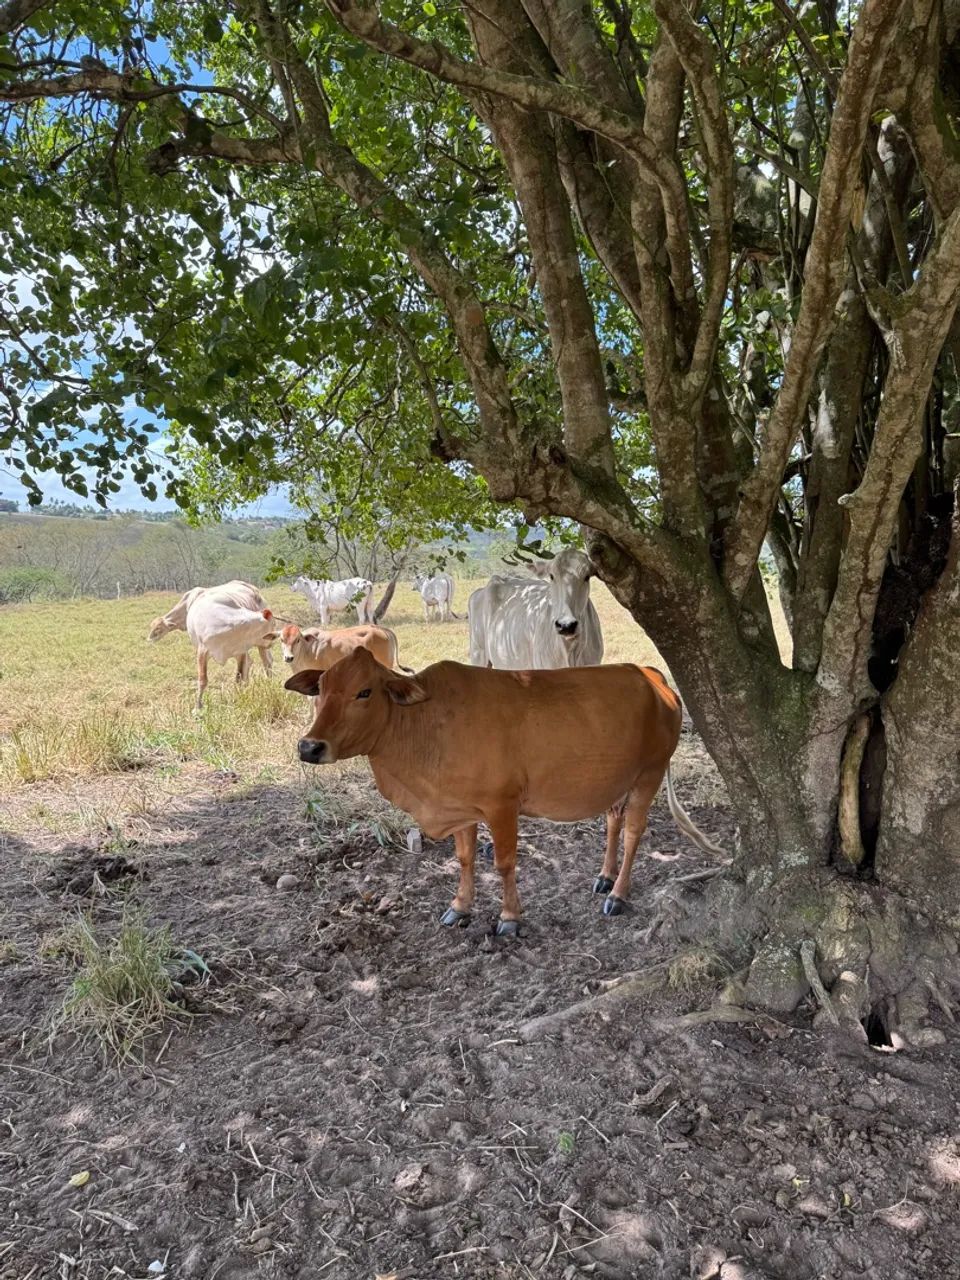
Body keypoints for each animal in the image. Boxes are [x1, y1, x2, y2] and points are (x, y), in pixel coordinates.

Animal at [284, 648, 725, 933]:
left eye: (365, 691)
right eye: (320, 688)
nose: (310, 747)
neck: (424, 723)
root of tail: (651, 674)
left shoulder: (501, 806)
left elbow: (504, 863)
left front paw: (510, 918)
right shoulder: (460, 807)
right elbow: (464, 859)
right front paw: (459, 908)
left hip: (650, 773)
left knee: (634, 830)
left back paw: (617, 894)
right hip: (619, 779)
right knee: (614, 821)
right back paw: (604, 876)